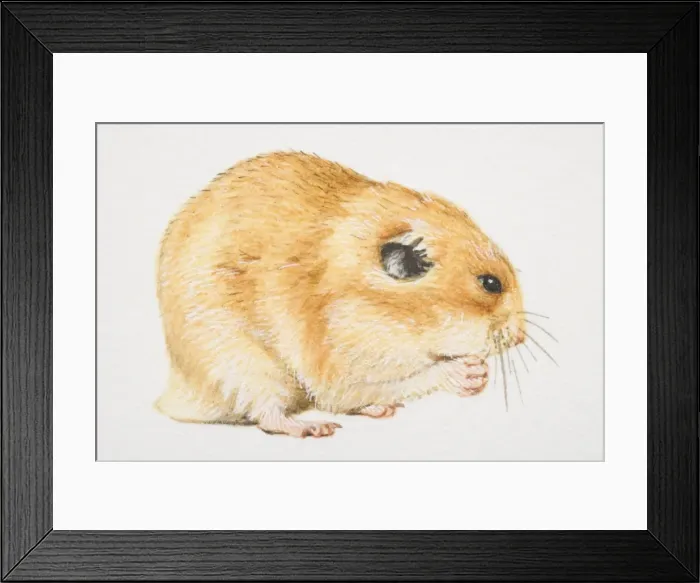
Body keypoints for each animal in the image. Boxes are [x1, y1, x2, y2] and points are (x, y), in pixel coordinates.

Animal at [155, 151, 525, 438]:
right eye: (490, 283)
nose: (521, 337)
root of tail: (172, 396)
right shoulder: (339, 361)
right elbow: (409, 378)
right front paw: (471, 373)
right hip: (243, 366)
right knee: (269, 417)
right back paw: (316, 428)